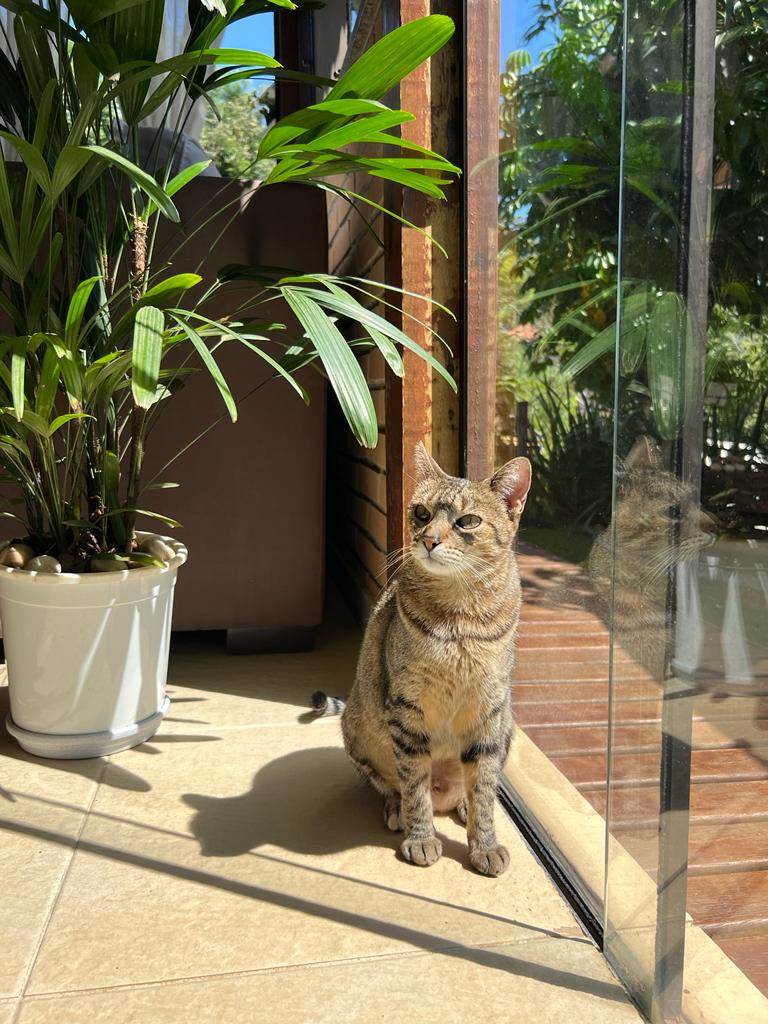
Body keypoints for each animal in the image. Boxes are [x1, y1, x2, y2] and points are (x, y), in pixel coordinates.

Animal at [312, 443, 532, 876]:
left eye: (468, 521)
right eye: (422, 513)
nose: (429, 539)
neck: (460, 619)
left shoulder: (489, 711)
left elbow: (484, 789)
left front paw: (485, 843)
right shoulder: (408, 711)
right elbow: (414, 786)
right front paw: (421, 837)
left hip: (506, 728)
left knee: (473, 787)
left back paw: (461, 804)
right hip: (360, 731)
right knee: (392, 785)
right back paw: (399, 811)